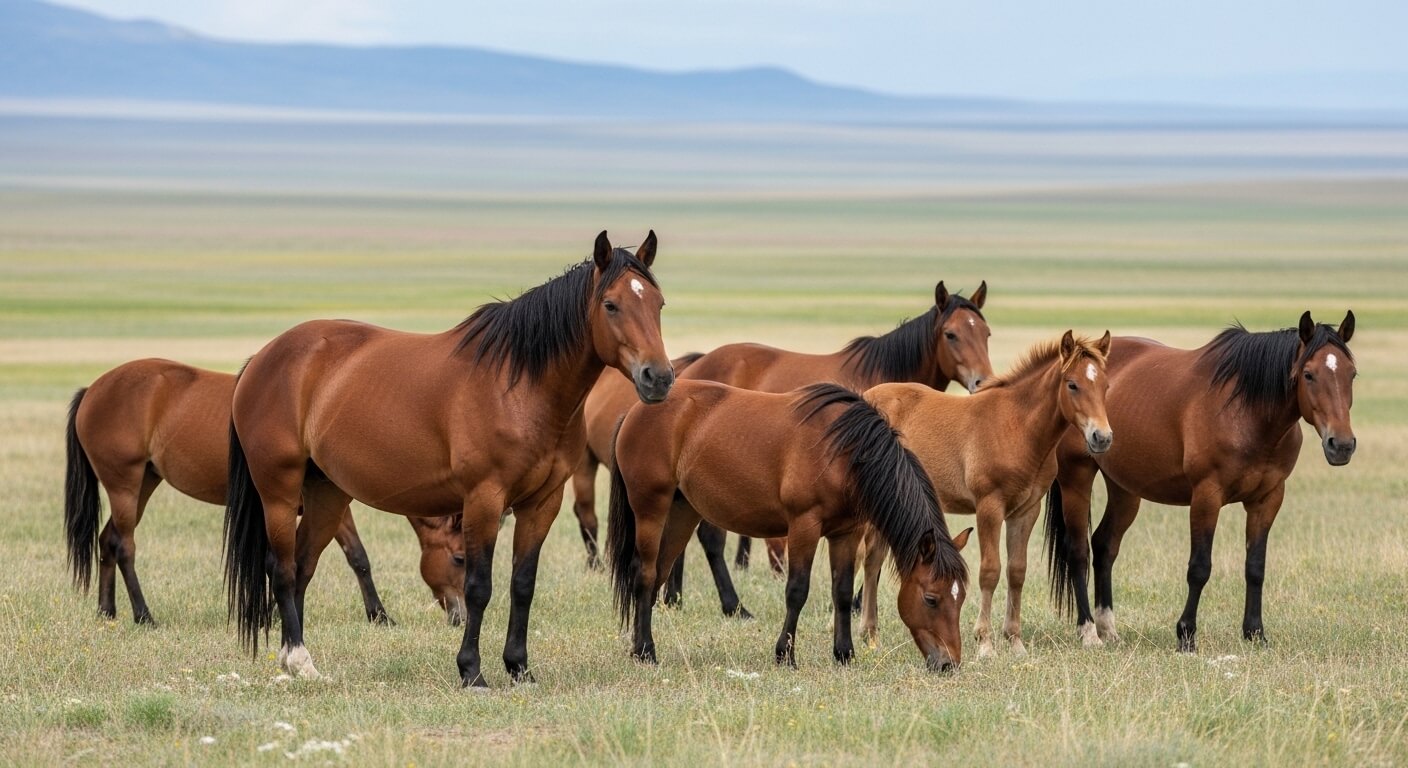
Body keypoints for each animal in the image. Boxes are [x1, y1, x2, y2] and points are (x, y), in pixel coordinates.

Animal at [62, 359, 467, 626]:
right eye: (460, 558)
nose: (460, 617)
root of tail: (92, 390)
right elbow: (341, 557)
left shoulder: (331, 505)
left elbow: (356, 557)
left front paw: (379, 615)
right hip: (124, 485)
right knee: (124, 546)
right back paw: (144, 615)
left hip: (143, 483)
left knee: (108, 539)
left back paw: (107, 611)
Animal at [224, 231, 672, 686]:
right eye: (610, 305)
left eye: (658, 304)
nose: (658, 377)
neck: (520, 387)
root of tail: (262, 359)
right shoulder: (483, 500)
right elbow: (479, 587)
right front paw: (472, 671)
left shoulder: (541, 504)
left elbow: (522, 585)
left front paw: (519, 667)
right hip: (279, 492)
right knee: (281, 568)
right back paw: (299, 659)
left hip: (326, 495)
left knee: (302, 566)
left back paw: (298, 662)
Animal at [607, 381, 971, 671]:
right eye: (931, 599)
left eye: (961, 598)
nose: (949, 663)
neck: (845, 454)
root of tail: (633, 413)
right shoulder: (804, 527)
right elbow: (797, 590)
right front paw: (785, 654)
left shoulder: (846, 533)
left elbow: (841, 593)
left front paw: (844, 654)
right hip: (651, 510)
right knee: (644, 575)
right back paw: (646, 651)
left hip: (682, 513)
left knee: (657, 576)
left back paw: (639, 647)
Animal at [862, 331, 1113, 657]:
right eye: (1072, 384)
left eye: (1106, 386)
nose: (1102, 438)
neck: (1017, 426)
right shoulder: (989, 507)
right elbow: (990, 571)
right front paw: (985, 644)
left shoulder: (1026, 510)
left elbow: (1017, 571)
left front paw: (1015, 642)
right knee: (868, 558)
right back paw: (866, 634)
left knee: (875, 558)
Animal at [1046, 312, 1357, 652]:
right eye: (1309, 374)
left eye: (1352, 374)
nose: (1341, 445)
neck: (1247, 413)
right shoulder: (1207, 496)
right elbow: (1199, 567)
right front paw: (1186, 635)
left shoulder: (1268, 499)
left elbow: (1255, 567)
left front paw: (1255, 633)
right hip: (1077, 478)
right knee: (1078, 551)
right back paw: (1088, 631)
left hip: (1125, 488)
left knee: (1104, 545)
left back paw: (1109, 629)